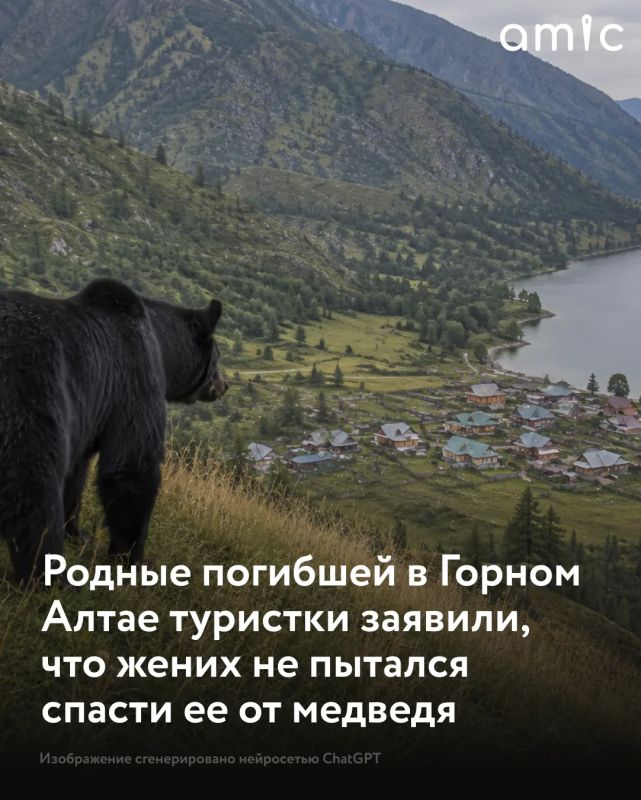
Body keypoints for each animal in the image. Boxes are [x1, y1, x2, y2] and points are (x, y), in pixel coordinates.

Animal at [0, 278, 228, 584]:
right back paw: (51, 577)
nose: (224, 384)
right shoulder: (134, 376)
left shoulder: (89, 415)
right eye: (218, 356)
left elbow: (76, 474)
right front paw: (133, 560)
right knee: (34, 489)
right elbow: (132, 467)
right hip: (32, 391)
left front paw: (79, 532)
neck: (162, 349)